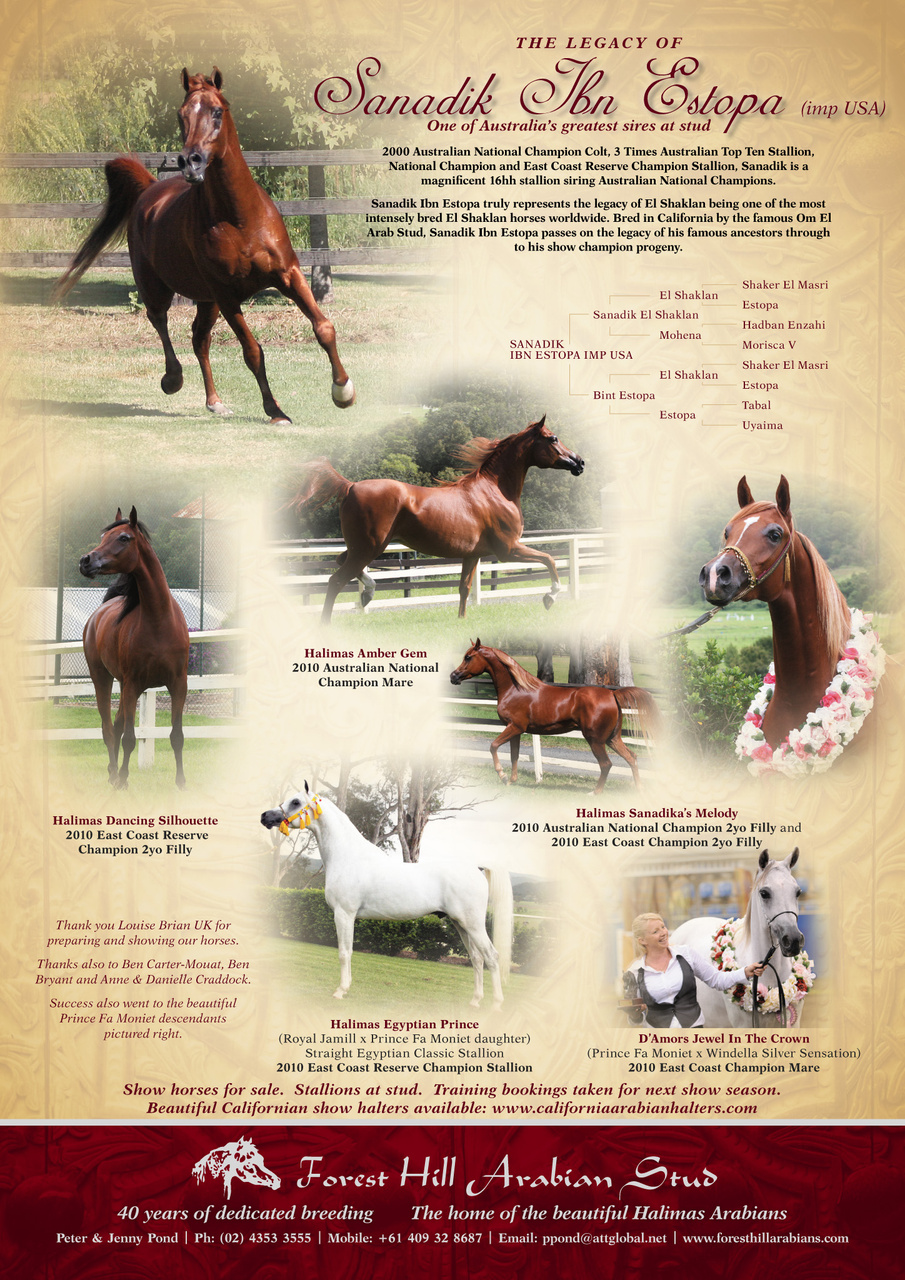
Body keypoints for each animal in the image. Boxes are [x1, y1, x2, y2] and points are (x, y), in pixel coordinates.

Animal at [53, 68, 354, 423]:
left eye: (217, 111)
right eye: (181, 114)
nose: (190, 162)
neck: (239, 220)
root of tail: (149, 189)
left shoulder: (288, 275)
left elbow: (324, 328)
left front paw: (343, 391)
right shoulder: (226, 294)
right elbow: (252, 351)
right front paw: (276, 411)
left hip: (206, 300)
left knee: (199, 338)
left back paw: (215, 401)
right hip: (157, 286)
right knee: (160, 320)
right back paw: (172, 379)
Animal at [79, 508, 190, 789]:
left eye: (124, 538)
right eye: (103, 536)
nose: (85, 561)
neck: (159, 621)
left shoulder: (178, 684)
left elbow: (177, 735)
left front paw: (181, 782)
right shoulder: (132, 684)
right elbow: (129, 737)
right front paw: (123, 780)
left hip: (124, 685)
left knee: (117, 726)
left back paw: (115, 772)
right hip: (104, 679)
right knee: (109, 729)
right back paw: (114, 774)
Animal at [260, 786, 512, 1007]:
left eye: (296, 802)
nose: (265, 816)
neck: (348, 857)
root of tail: (476, 868)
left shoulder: (344, 914)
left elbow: (344, 952)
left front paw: (341, 990)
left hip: (473, 924)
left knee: (491, 956)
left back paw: (497, 1004)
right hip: (461, 924)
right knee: (477, 959)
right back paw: (475, 1001)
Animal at [290, 416, 584, 621]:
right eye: (553, 438)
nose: (579, 462)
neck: (495, 491)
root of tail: (350, 486)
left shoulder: (472, 555)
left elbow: (464, 588)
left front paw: (462, 621)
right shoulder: (508, 550)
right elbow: (550, 559)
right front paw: (550, 597)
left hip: (363, 547)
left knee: (342, 564)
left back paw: (368, 594)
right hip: (369, 547)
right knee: (336, 580)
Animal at [449, 641, 657, 791]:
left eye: (468, 657)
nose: (453, 676)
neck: (516, 689)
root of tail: (612, 695)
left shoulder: (514, 727)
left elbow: (493, 746)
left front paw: (502, 775)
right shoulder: (516, 731)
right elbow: (514, 755)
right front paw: (511, 781)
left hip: (595, 740)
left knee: (606, 764)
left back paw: (595, 792)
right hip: (612, 738)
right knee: (631, 757)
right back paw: (638, 790)